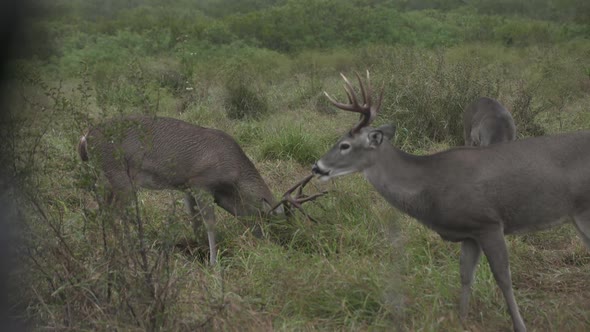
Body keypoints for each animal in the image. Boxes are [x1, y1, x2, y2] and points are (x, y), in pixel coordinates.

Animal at [78, 115, 324, 264]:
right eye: (280, 223)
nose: (289, 245)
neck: (233, 173)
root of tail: (85, 137)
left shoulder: (187, 187)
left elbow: (194, 221)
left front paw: (198, 252)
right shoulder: (201, 183)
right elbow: (209, 223)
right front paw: (214, 262)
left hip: (106, 180)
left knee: (99, 211)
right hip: (120, 177)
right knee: (113, 213)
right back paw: (128, 252)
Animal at [312, 70, 590, 332]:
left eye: (344, 145)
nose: (317, 167)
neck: (430, 186)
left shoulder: (488, 222)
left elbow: (503, 277)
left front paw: (519, 325)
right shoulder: (469, 232)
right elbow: (465, 275)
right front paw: (461, 319)